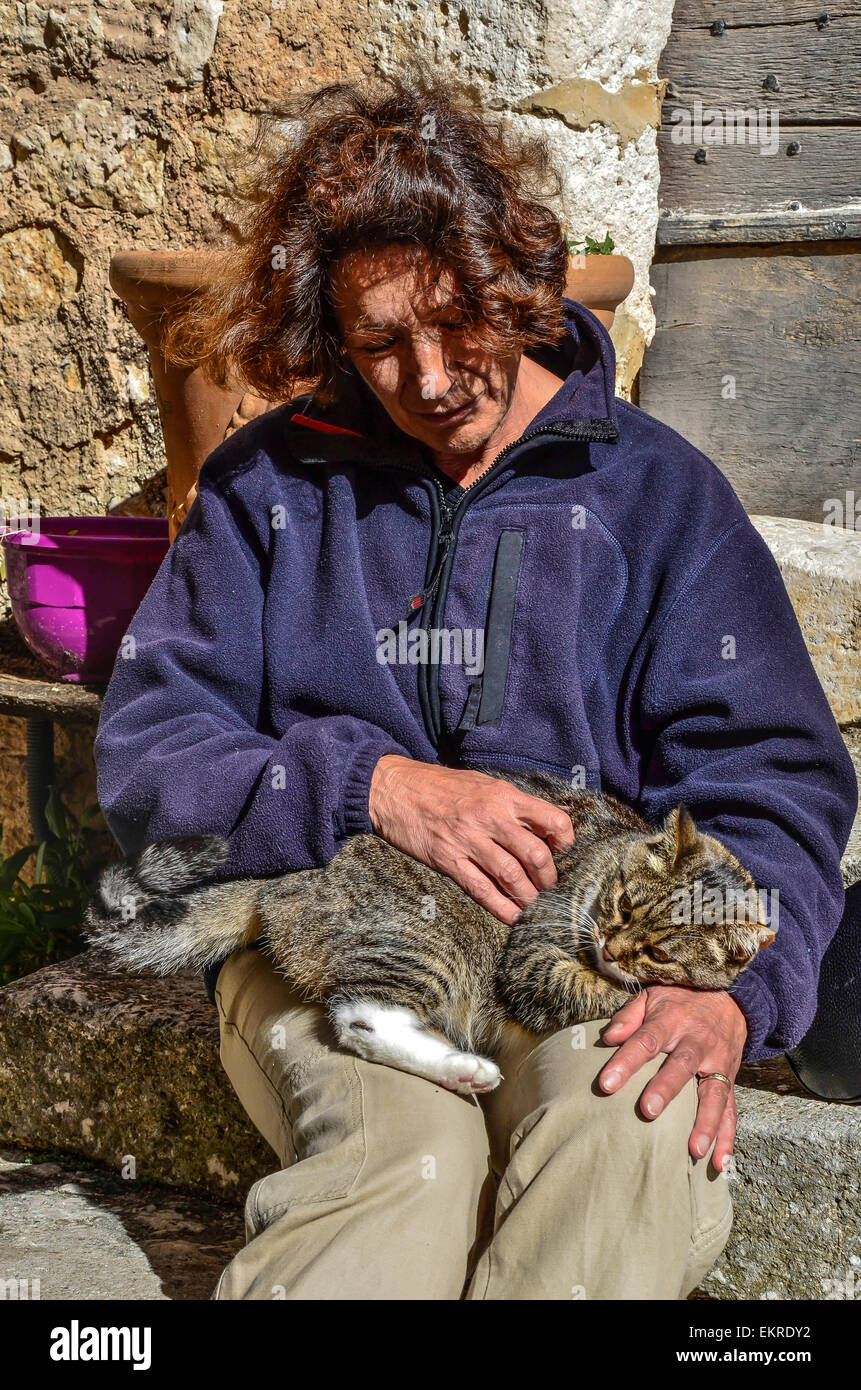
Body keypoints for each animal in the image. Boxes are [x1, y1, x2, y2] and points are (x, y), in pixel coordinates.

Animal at [85, 767, 773, 1089]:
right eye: (624, 905)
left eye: (657, 950)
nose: (611, 945)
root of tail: (288, 878)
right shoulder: (531, 955)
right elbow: (589, 989)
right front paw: (634, 994)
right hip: (421, 944)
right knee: (361, 1018)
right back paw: (467, 1069)